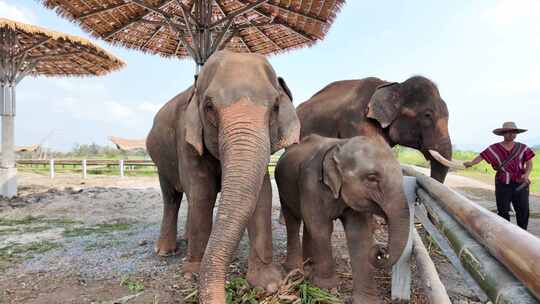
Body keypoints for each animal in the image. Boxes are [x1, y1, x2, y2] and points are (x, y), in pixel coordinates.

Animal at [146, 50, 302, 304]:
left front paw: (268, 284)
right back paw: (165, 251)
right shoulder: (186, 139)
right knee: (172, 197)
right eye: (209, 106)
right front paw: (192, 273)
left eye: (276, 106)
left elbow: (262, 195)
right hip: (161, 161)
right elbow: (202, 192)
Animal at [276, 134, 412, 302]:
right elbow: (321, 228)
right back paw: (294, 269)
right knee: (293, 221)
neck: (341, 145)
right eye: (372, 177)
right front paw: (326, 288)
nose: (381, 250)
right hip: (283, 188)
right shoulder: (310, 184)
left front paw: (366, 300)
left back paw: (310, 262)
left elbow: (358, 234)